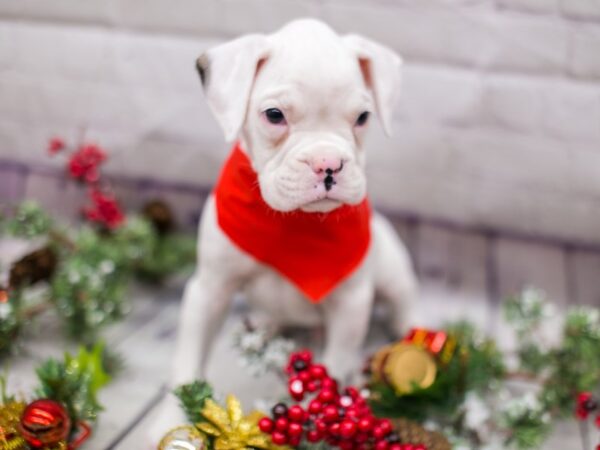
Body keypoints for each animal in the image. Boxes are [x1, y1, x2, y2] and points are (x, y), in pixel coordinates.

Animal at [149, 19, 418, 444]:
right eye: (274, 115)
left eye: (362, 117)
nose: (329, 162)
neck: (293, 222)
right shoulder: (208, 291)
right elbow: (187, 362)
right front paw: (171, 422)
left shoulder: (351, 304)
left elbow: (334, 369)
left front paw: (322, 420)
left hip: (393, 269)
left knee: (405, 300)